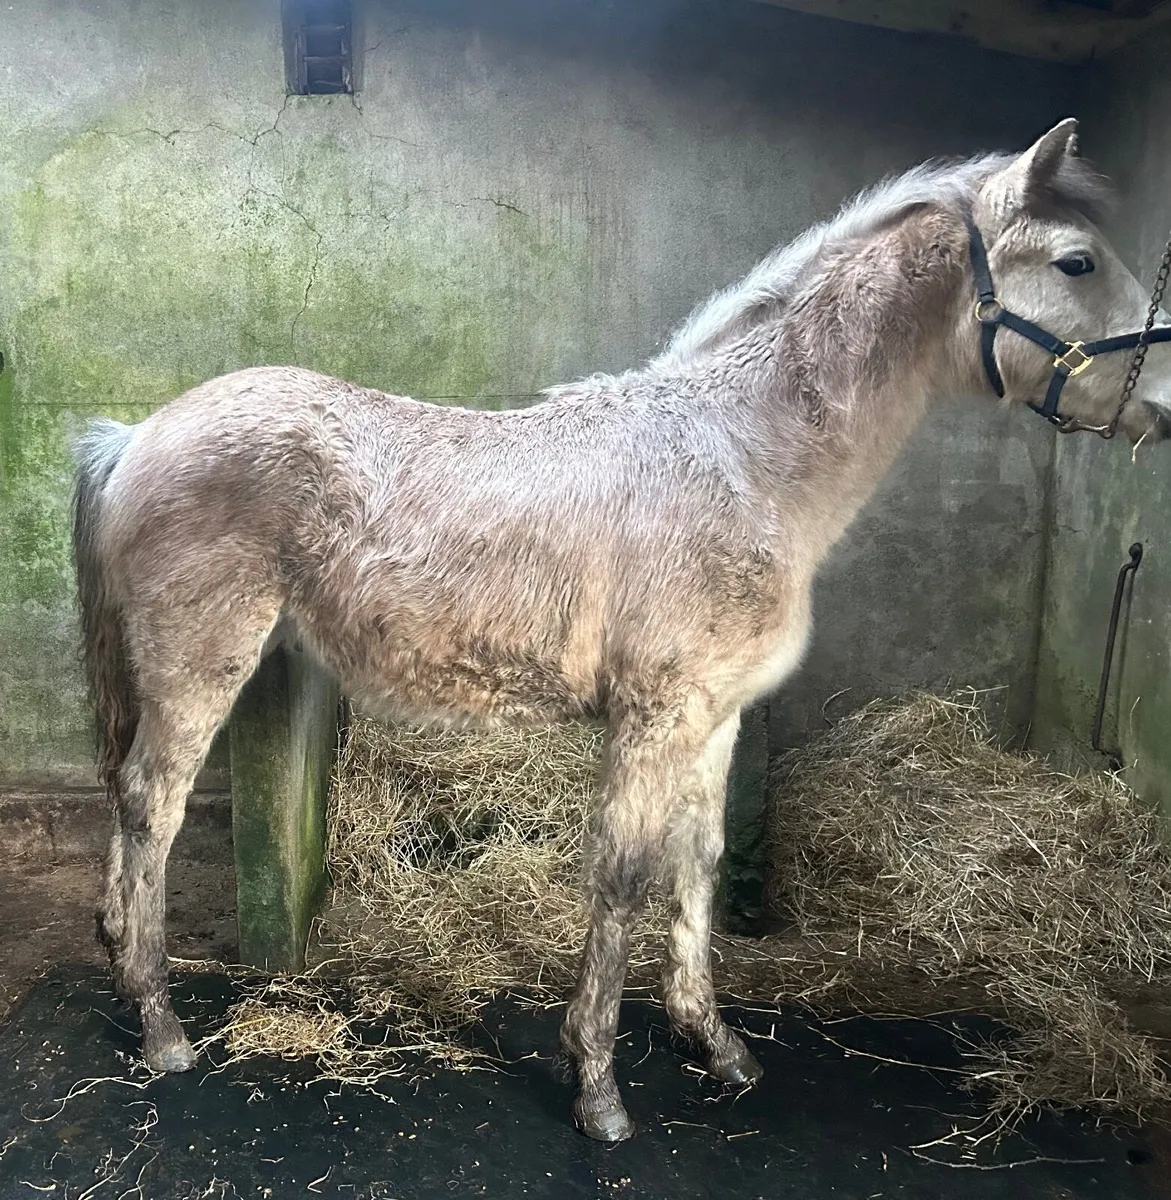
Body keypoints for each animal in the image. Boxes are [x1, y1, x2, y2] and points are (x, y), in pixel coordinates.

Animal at [72, 118, 1171, 1141]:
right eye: (1076, 262)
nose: (1160, 402)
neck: (743, 460)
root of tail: (135, 436)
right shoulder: (655, 717)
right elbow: (624, 876)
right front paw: (597, 1087)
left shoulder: (714, 719)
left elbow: (698, 864)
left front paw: (715, 1044)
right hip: (199, 663)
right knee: (151, 806)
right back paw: (162, 1025)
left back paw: (121, 959)